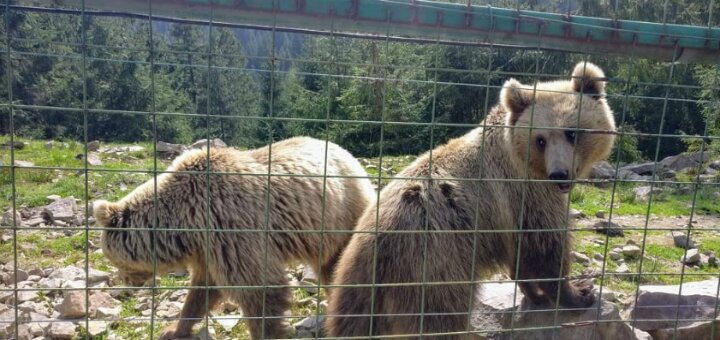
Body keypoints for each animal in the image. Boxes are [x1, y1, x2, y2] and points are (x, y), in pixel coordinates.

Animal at [92, 137, 374, 338]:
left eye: (113, 259)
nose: (125, 283)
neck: (186, 220)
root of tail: (346, 153)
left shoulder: (230, 228)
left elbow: (259, 288)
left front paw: (265, 333)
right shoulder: (209, 248)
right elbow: (203, 290)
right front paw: (174, 329)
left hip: (342, 216)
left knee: (338, 268)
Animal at [324, 62, 612, 338]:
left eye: (572, 133)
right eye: (540, 139)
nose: (560, 175)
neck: (525, 161)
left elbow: (522, 255)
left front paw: (536, 294)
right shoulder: (527, 193)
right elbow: (545, 246)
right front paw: (579, 292)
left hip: (356, 285)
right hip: (435, 264)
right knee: (441, 318)